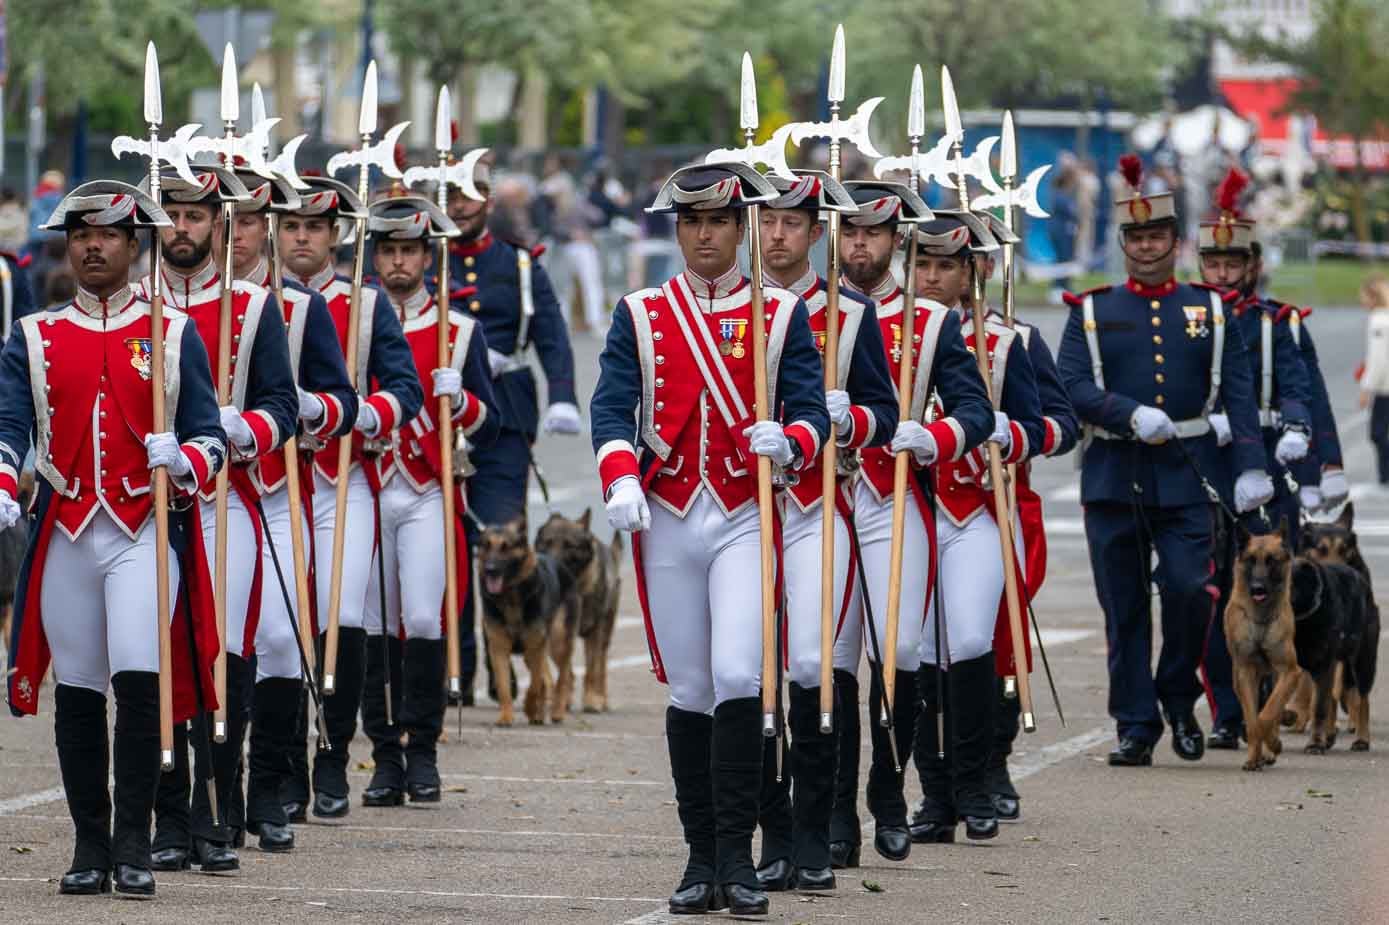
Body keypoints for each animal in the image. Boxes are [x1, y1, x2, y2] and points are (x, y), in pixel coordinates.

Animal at [475, 513, 566, 722]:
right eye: (486, 545)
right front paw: (506, 717)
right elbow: (504, 686)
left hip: (558, 643)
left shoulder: (534, 647)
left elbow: (534, 685)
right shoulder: (499, 648)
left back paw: (556, 711)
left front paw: (529, 707)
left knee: (563, 677)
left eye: (506, 547)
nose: (490, 569)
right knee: (548, 679)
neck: (511, 596)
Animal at [533, 508, 622, 708]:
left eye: (569, 545)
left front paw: (592, 699)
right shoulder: (559, 633)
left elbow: (592, 670)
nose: (552, 565)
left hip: (605, 630)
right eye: (547, 542)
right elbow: (566, 670)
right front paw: (564, 696)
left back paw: (601, 697)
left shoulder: (595, 631)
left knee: (601, 665)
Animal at [1227, 519, 1300, 772]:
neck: (1261, 619)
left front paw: (1273, 744)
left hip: (1279, 677)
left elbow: (1267, 715)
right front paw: (1253, 757)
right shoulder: (1246, 673)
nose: (1257, 588)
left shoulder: (1290, 672)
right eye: (1250, 560)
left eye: (1271, 560)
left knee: (1273, 710)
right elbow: (1252, 721)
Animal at [1288, 497, 1377, 750]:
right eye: (1321, 550)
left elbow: (1331, 693)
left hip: (1361, 657)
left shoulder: (1330, 654)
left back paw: (1358, 733)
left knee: (1359, 694)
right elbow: (1310, 688)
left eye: (1344, 550)